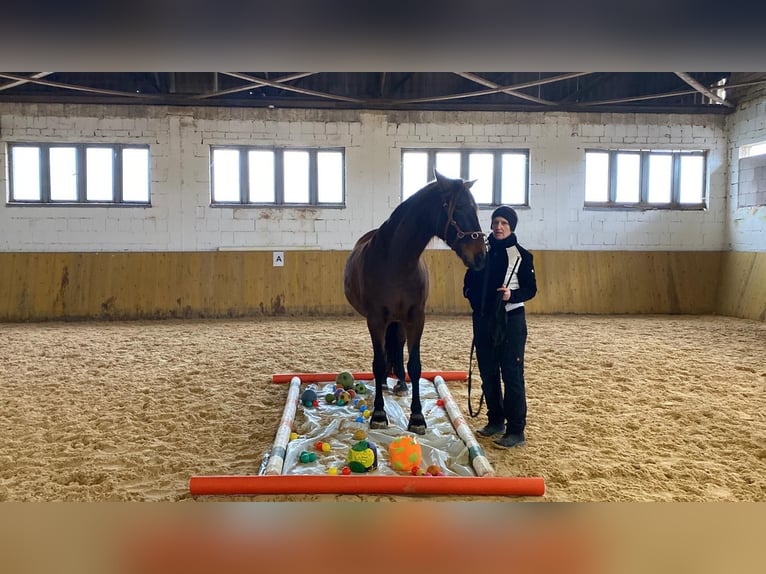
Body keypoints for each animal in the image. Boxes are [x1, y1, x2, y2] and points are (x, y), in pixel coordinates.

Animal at [343, 170, 487, 434]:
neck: (396, 261)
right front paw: (379, 414)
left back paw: (400, 383)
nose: (481, 255)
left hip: (399, 321)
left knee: (397, 347)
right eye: (461, 207)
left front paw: (417, 417)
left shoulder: (416, 317)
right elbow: (378, 363)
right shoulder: (376, 319)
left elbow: (415, 365)